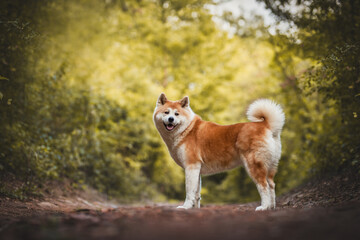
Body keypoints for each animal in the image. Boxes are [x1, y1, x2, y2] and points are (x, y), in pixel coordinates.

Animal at [153, 93, 286, 211]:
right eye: (166, 112)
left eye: (176, 114)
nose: (171, 119)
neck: (187, 129)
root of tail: (265, 125)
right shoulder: (197, 169)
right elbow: (197, 194)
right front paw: (195, 209)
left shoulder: (191, 166)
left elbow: (189, 191)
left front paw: (185, 207)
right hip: (270, 166)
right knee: (272, 185)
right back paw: (271, 207)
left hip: (254, 165)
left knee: (264, 186)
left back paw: (263, 207)